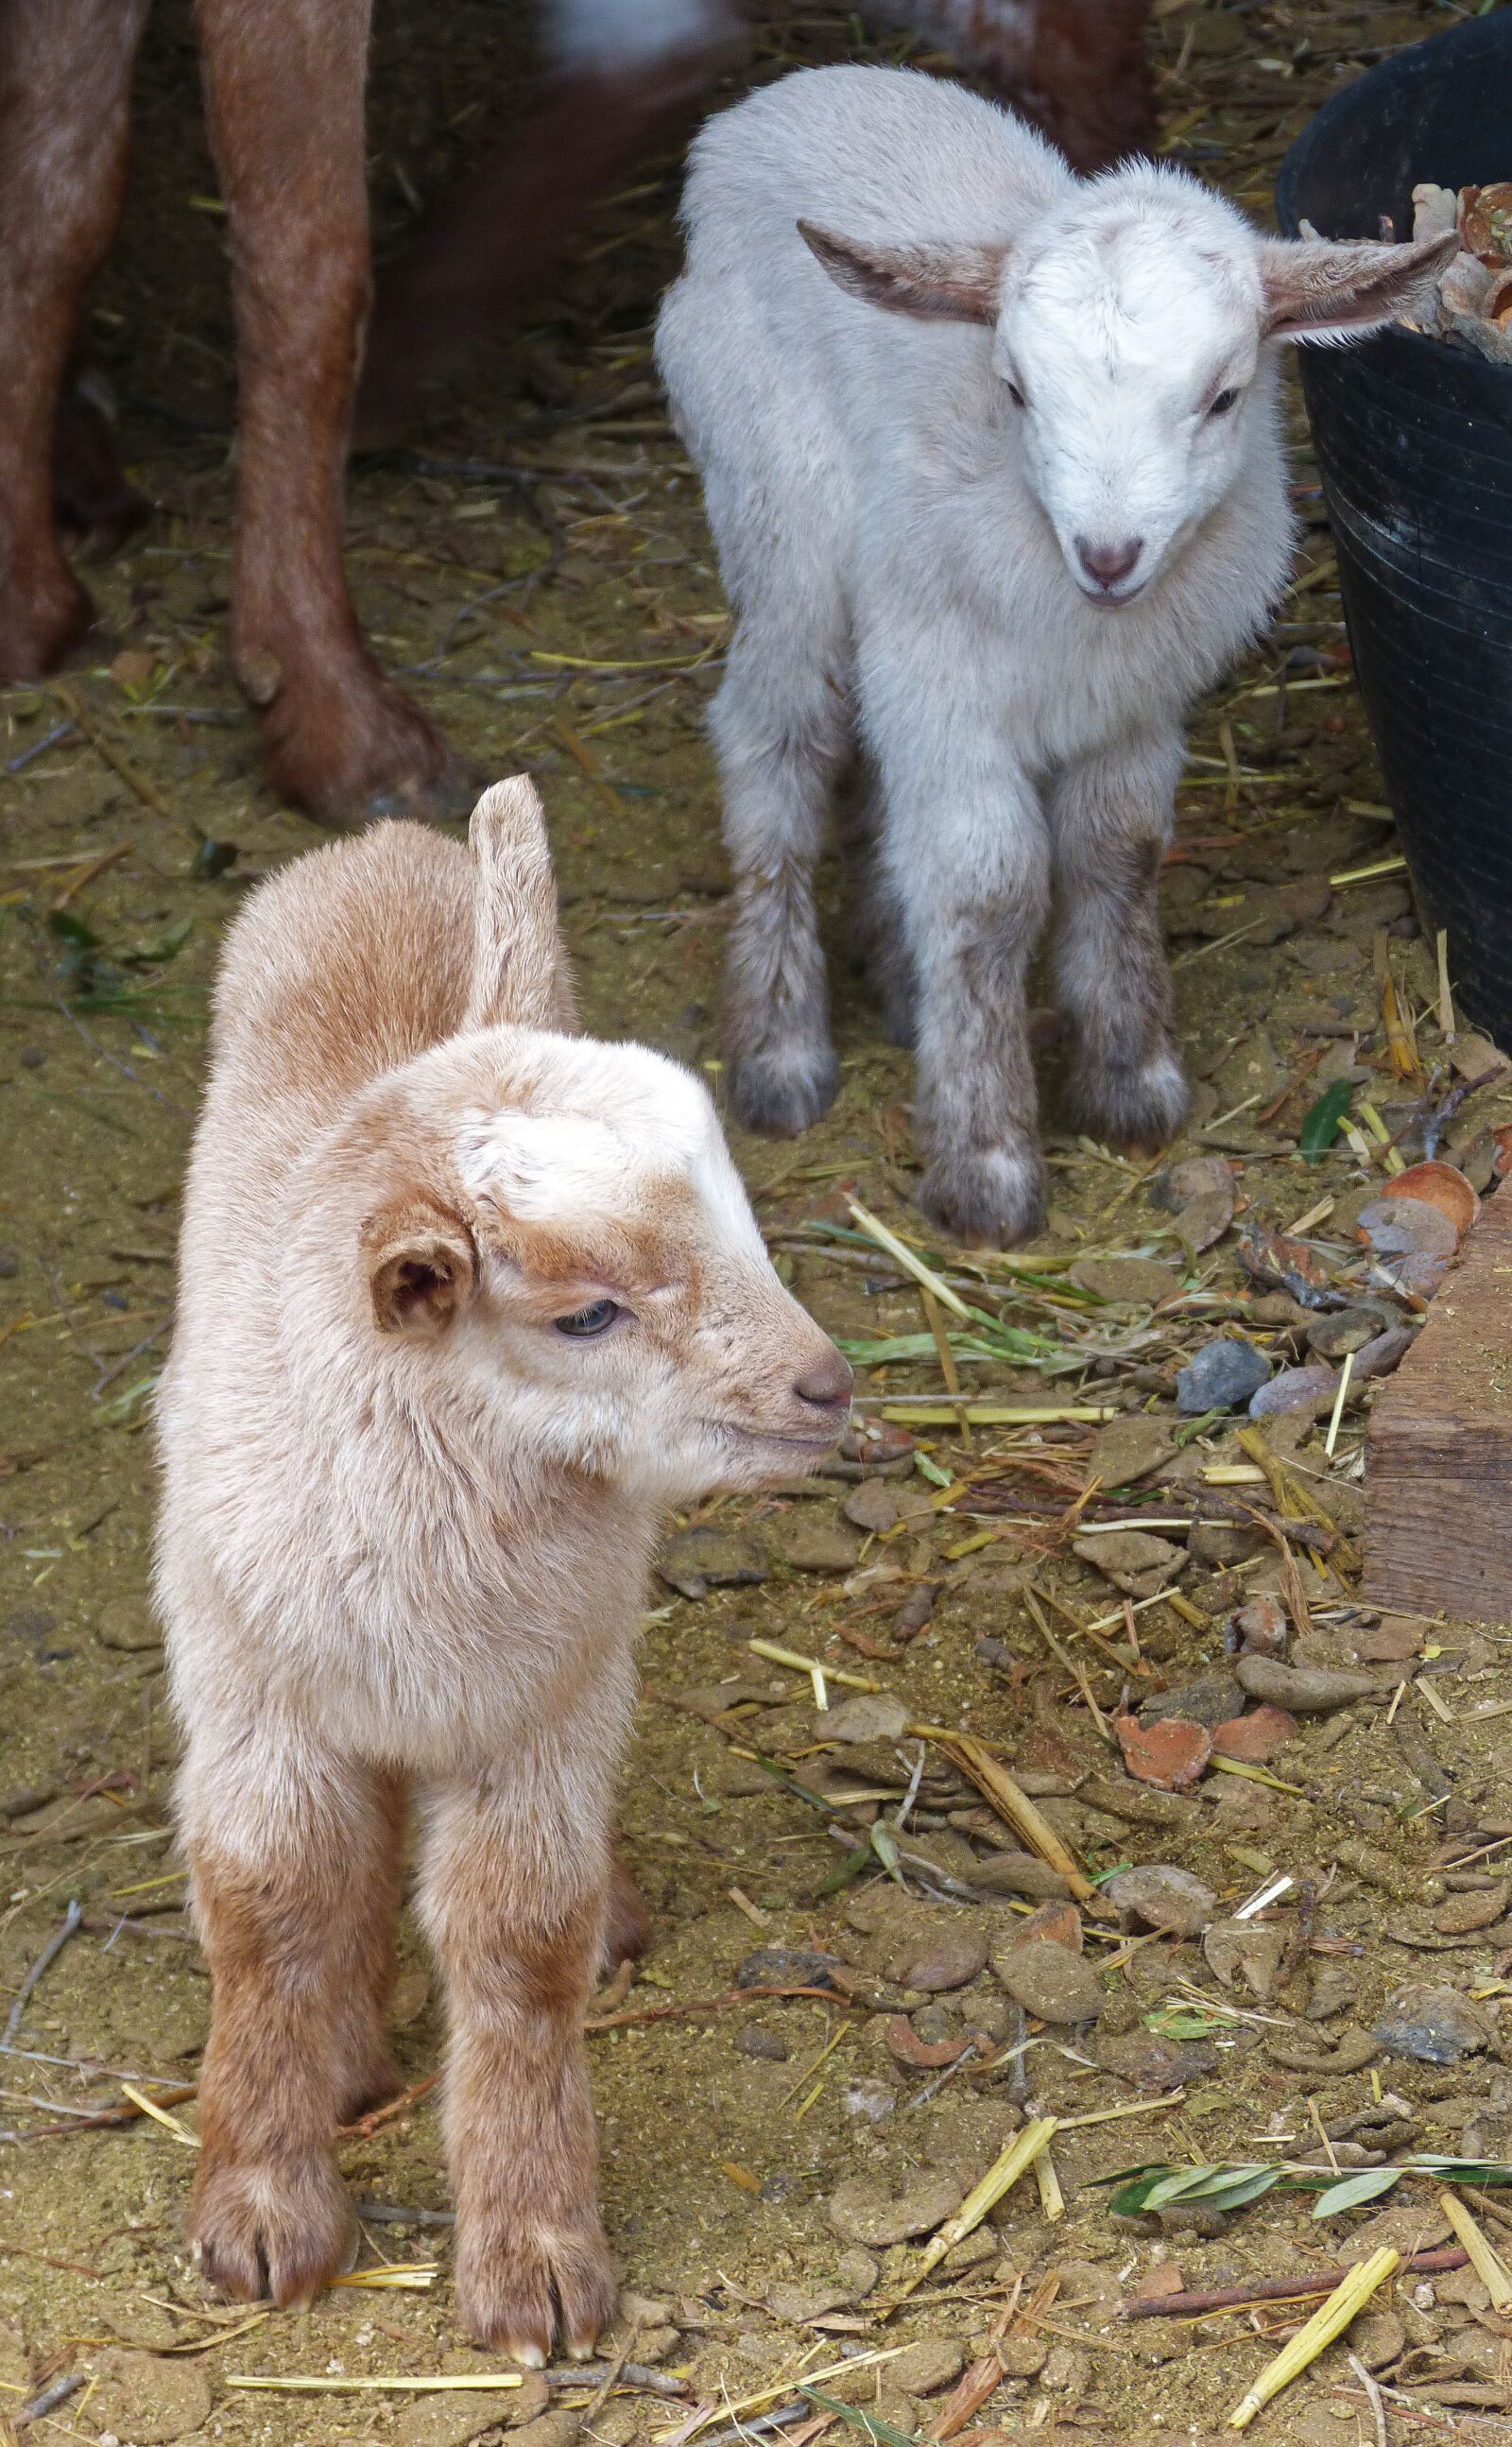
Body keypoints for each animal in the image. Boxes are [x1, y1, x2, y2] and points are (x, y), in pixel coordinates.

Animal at [153, 776, 851, 2355]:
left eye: (741, 1216)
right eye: (585, 1314)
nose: (827, 1386)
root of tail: (392, 839)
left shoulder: (543, 1709)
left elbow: (523, 1935)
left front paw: (534, 2252)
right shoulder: (253, 1697)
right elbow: (267, 1905)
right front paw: (263, 2207)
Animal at [655, 65, 1453, 1243]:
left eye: (1222, 396)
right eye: (1016, 390)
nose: (1109, 554)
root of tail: (751, 117)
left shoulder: (1130, 705)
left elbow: (1116, 851)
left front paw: (1128, 1080)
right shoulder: (951, 702)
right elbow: (989, 894)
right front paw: (985, 1164)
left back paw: (894, 981)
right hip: (778, 520)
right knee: (774, 745)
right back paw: (780, 1045)